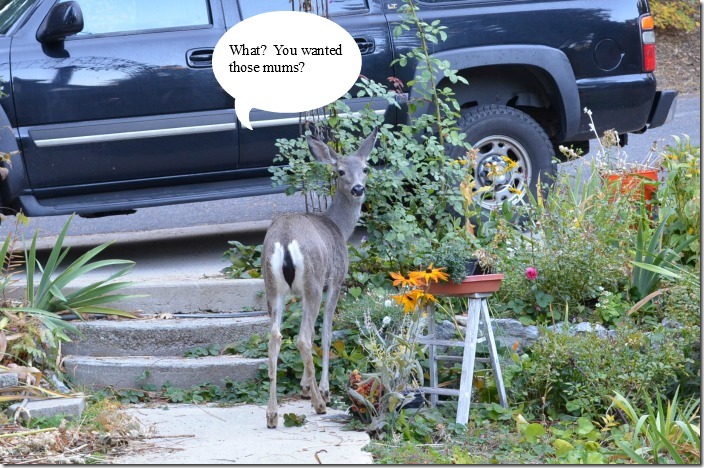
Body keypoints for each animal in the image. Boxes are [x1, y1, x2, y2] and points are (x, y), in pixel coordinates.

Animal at [262, 127, 376, 428]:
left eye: (365, 168)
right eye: (340, 171)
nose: (358, 188)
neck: (338, 226)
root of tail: (285, 240)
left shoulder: (299, 292)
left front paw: (304, 386)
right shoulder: (335, 280)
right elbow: (325, 332)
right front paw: (321, 389)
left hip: (272, 287)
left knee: (275, 337)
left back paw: (272, 414)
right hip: (312, 281)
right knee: (302, 337)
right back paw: (319, 404)